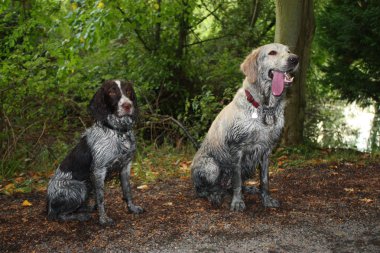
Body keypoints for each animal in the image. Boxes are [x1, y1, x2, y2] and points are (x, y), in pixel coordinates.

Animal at [47, 79, 142, 225]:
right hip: (79, 187)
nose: (127, 105)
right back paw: (81, 216)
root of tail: (48, 204)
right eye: (111, 92)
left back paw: (88, 208)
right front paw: (103, 219)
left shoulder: (126, 166)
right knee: (59, 215)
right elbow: (101, 197)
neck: (119, 132)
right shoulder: (99, 170)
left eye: (128, 91)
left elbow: (127, 191)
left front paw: (132, 208)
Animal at [191, 44, 298, 211]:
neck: (265, 109)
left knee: (228, 186)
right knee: (204, 189)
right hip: (211, 167)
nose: (295, 59)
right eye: (272, 52)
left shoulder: (266, 151)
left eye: (288, 51)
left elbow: (265, 180)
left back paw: (247, 189)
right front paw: (237, 202)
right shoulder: (237, 150)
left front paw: (266, 199)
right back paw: (214, 195)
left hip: (249, 167)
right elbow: (237, 181)